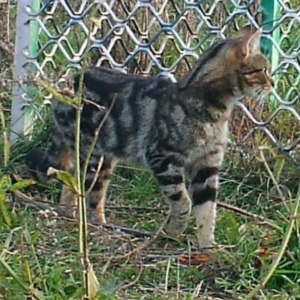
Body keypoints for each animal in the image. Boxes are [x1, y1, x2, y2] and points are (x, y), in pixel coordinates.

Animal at [25, 26, 274, 251]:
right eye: (262, 69)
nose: (272, 84)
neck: (216, 109)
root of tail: (67, 83)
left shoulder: (207, 166)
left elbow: (207, 212)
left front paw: (208, 250)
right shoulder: (162, 158)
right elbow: (183, 202)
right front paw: (173, 234)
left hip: (102, 159)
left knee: (71, 186)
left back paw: (73, 219)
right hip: (95, 158)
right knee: (89, 196)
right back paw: (98, 230)